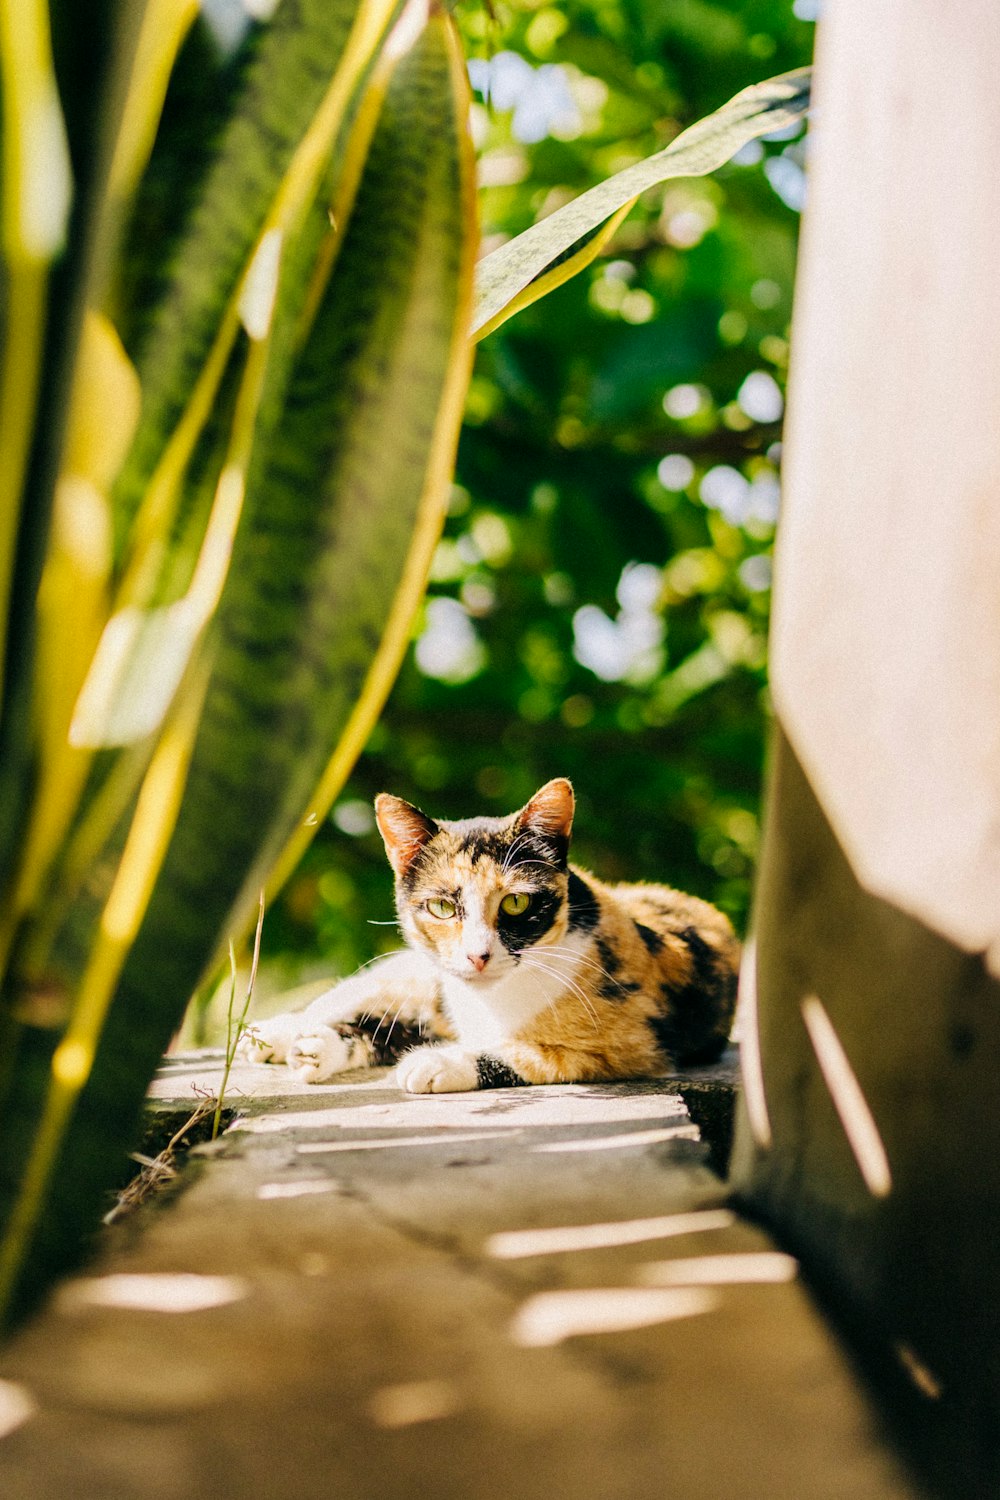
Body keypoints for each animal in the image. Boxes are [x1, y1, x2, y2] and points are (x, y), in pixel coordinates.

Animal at [239, 786, 743, 1092]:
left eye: (515, 904)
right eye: (443, 907)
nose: (477, 955)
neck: (487, 1003)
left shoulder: (633, 1043)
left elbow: (534, 1055)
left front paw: (434, 1063)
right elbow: (380, 1021)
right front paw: (312, 1046)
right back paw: (274, 1036)